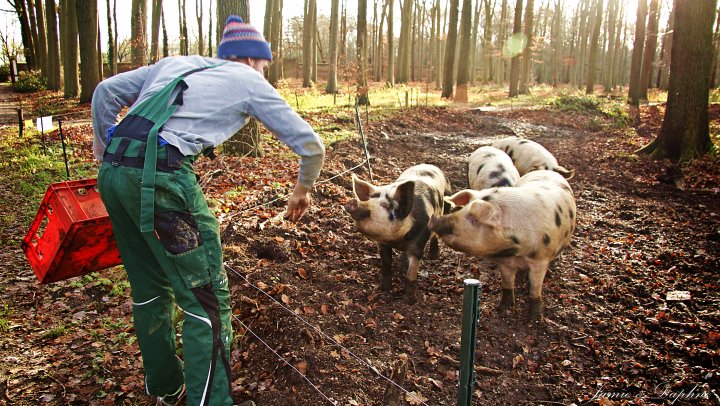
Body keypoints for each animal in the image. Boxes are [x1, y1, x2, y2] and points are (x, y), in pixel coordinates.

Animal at [344, 163, 450, 302]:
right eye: (370, 199)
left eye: (385, 206)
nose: (354, 201)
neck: (397, 240)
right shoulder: (382, 244)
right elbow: (386, 266)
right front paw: (383, 289)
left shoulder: (418, 245)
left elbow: (411, 274)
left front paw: (410, 301)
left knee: (436, 235)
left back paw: (433, 256)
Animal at [428, 170, 572, 318]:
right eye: (462, 209)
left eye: (474, 219)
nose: (434, 218)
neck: (516, 251)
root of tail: (546, 170)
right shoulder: (505, 262)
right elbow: (507, 285)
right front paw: (501, 309)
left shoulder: (540, 261)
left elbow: (535, 290)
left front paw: (534, 319)